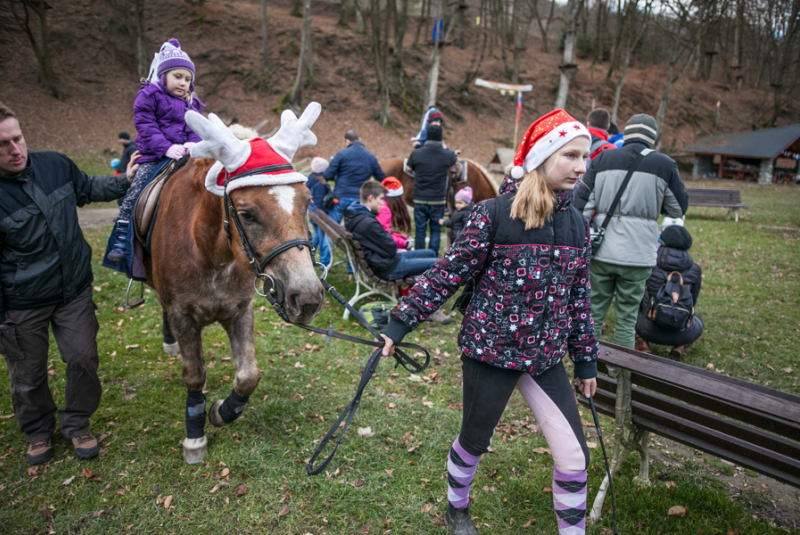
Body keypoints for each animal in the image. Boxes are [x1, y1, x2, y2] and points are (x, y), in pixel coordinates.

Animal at [144, 104, 324, 464]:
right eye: (248, 214)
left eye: (307, 202)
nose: (308, 296)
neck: (210, 253)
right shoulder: (182, 314)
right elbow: (195, 375)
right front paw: (195, 435)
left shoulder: (241, 310)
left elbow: (248, 376)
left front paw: (221, 412)